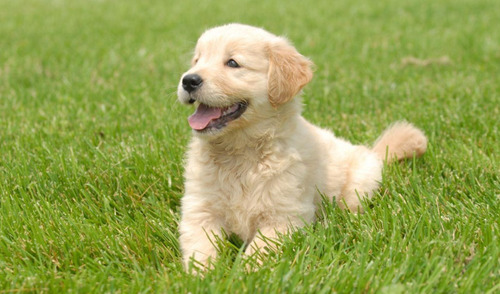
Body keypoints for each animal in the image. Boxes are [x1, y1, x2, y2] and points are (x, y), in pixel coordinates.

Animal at [176, 23, 426, 268]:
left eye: (232, 63)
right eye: (197, 60)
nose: (188, 80)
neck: (239, 152)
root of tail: (372, 153)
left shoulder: (284, 216)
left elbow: (257, 253)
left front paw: (241, 273)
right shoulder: (199, 209)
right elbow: (200, 248)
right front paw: (203, 274)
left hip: (360, 184)